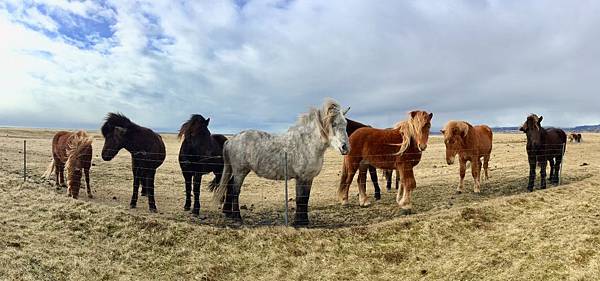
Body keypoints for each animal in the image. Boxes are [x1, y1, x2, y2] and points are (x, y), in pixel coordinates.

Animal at [213, 99, 350, 225]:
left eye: (345, 124)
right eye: (333, 124)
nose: (345, 147)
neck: (307, 143)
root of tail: (232, 139)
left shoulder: (309, 178)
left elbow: (305, 198)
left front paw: (304, 221)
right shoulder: (301, 178)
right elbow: (300, 199)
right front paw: (299, 222)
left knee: (230, 187)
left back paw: (228, 214)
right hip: (240, 171)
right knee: (235, 191)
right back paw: (237, 217)